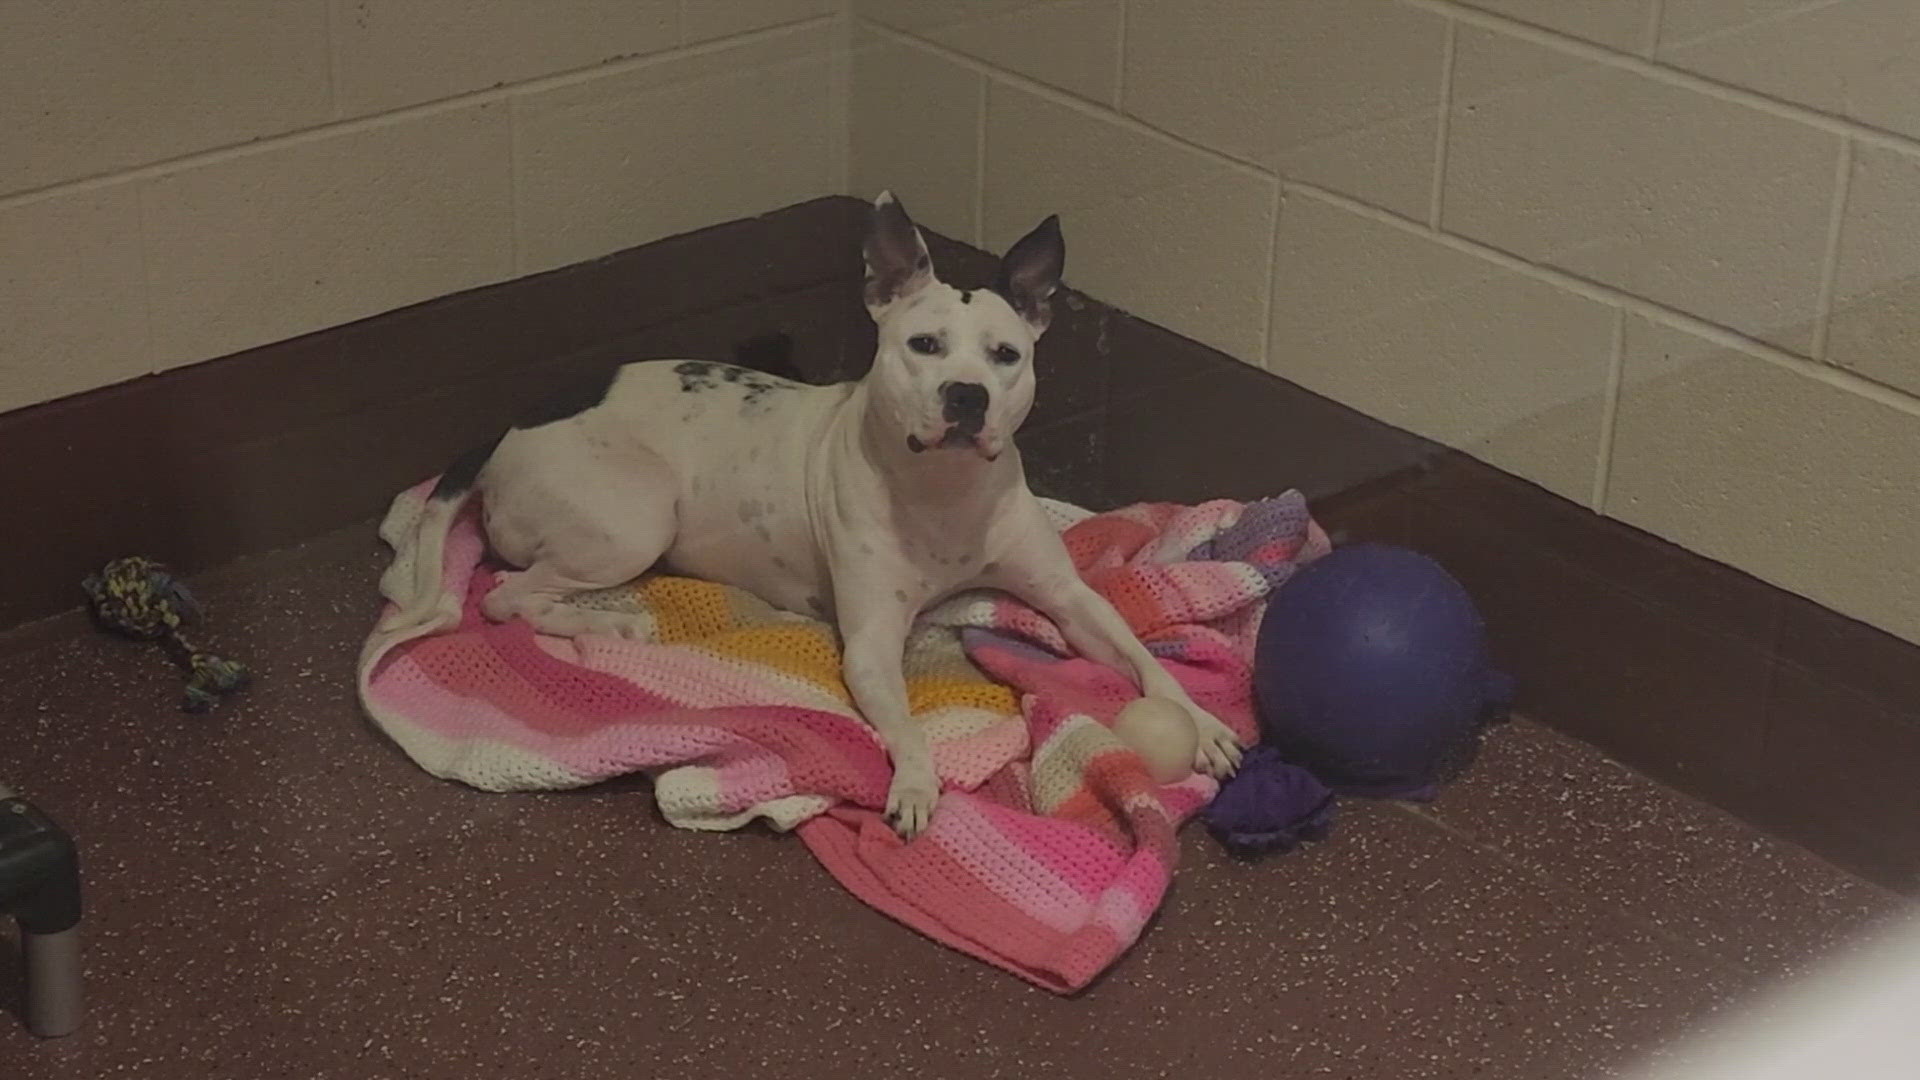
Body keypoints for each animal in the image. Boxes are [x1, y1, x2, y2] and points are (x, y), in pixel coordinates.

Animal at [397, 191, 1251, 834]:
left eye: (1006, 355)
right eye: (924, 344)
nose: (966, 396)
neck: (943, 492)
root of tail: (504, 432)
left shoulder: (1072, 599)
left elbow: (1143, 659)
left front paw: (1203, 724)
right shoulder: (870, 647)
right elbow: (905, 725)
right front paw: (915, 782)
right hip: (634, 522)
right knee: (507, 596)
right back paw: (611, 624)